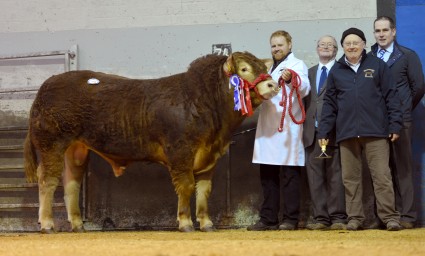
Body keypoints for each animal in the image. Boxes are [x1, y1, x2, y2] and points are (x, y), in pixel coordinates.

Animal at [24, 51, 280, 233]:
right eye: (244, 69)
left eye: (263, 68)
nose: (273, 84)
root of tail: (46, 87)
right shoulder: (180, 151)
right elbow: (186, 186)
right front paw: (185, 223)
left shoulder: (209, 156)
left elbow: (204, 190)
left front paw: (206, 223)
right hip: (51, 144)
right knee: (47, 181)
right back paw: (47, 224)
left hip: (76, 150)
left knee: (71, 184)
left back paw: (77, 225)